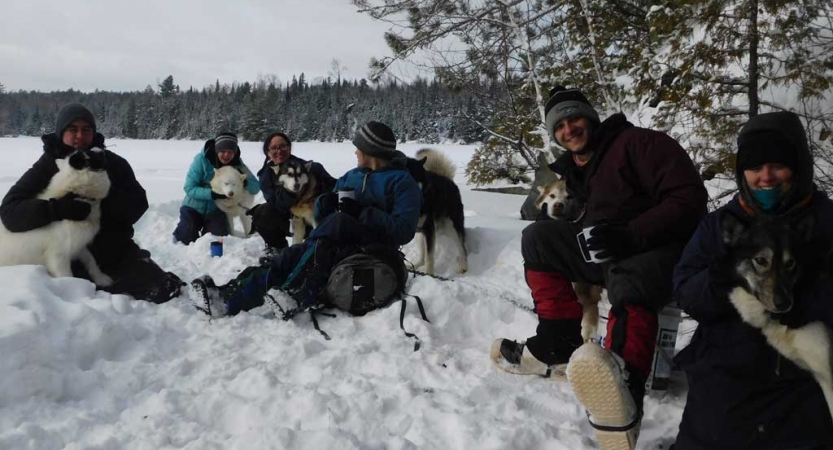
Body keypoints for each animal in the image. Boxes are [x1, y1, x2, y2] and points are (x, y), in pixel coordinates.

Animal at [0, 149, 114, 286]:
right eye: (88, 156)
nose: (102, 150)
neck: (76, 196)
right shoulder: (58, 257)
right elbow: (68, 276)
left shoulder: (79, 246)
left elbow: (91, 260)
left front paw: (101, 279)